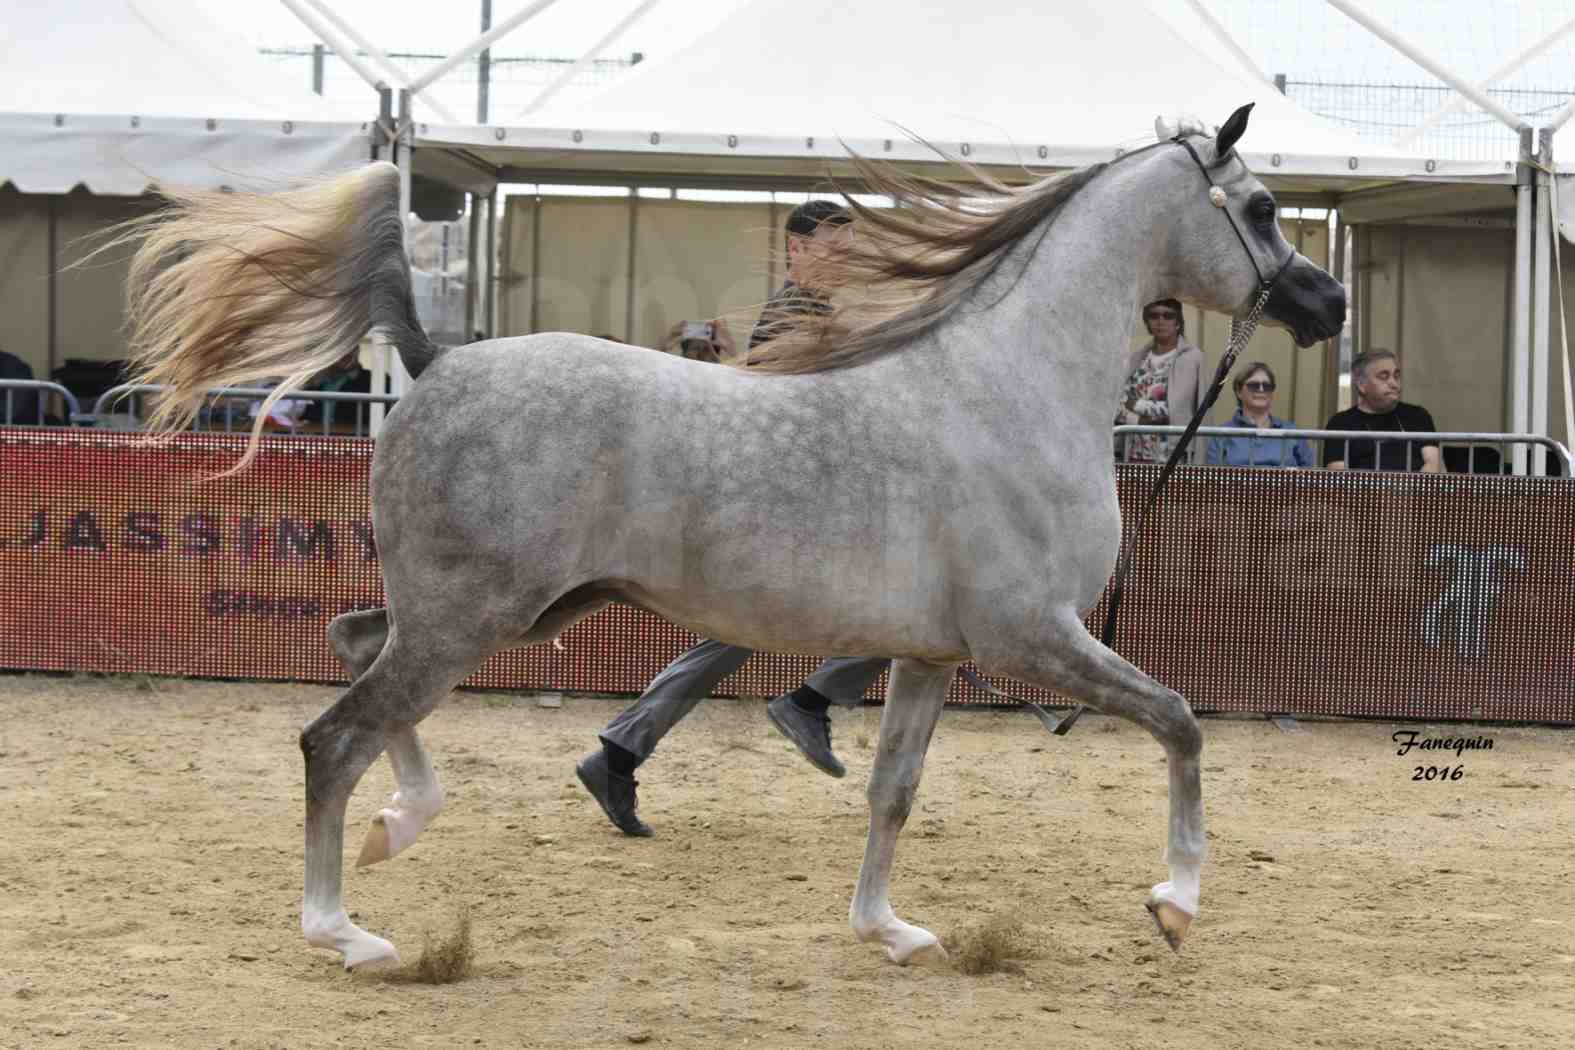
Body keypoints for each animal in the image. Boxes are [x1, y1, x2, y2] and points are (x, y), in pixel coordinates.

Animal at [114, 104, 1341, 969]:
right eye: (1261, 206)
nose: (1325, 305)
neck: (1008, 388)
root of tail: (436, 360)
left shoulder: (931, 656)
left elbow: (892, 793)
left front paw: (888, 931)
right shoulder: (1029, 638)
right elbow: (1180, 722)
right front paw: (1175, 905)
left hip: (506, 610)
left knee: (352, 640)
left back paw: (400, 825)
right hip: (474, 618)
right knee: (335, 737)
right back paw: (344, 929)